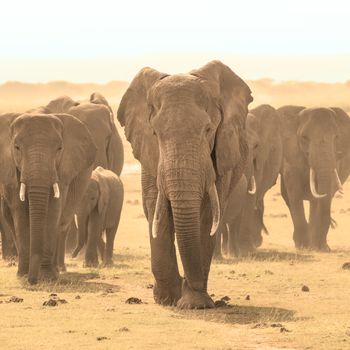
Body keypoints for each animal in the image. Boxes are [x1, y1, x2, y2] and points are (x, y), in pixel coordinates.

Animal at [0, 112, 96, 284]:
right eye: (16, 147)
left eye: (59, 149)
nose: (32, 280)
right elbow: (20, 213)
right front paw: (24, 275)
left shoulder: (63, 171)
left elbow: (53, 211)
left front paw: (46, 277)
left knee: (61, 223)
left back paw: (57, 271)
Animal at [117, 60, 252, 308]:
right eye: (155, 133)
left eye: (208, 130)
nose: (189, 283)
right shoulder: (151, 156)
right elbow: (156, 208)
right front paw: (167, 299)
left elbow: (207, 215)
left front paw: (194, 303)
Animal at [278, 105, 350, 250]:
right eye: (304, 137)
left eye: (336, 137)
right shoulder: (291, 156)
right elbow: (294, 192)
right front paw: (303, 246)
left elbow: (327, 191)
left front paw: (321, 248)